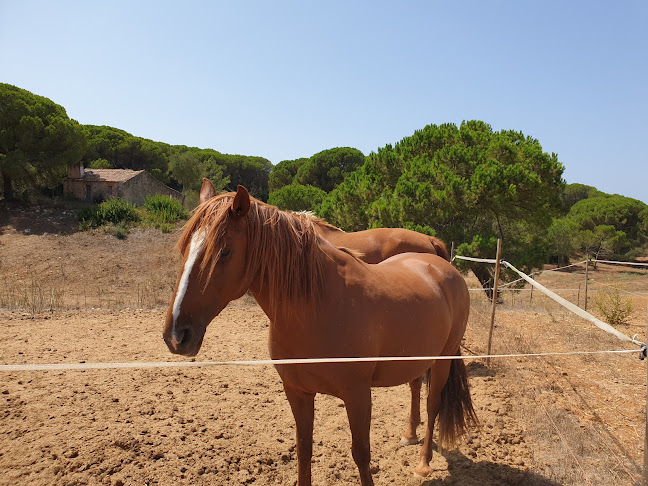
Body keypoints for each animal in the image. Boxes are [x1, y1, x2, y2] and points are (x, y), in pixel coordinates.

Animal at [162, 183, 476, 486]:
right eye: (184, 248)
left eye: (224, 251)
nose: (176, 335)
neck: (319, 306)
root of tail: (441, 264)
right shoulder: (297, 391)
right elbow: (304, 449)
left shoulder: (357, 394)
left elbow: (361, 454)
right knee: (414, 385)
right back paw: (409, 434)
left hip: (443, 359)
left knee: (433, 403)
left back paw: (423, 464)